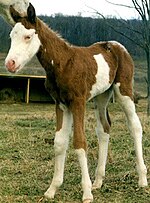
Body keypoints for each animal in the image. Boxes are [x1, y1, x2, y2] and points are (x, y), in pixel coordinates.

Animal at [4, 3, 148, 203]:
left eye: (28, 36)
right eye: (11, 36)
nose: (10, 64)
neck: (63, 63)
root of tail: (116, 45)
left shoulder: (78, 102)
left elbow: (80, 143)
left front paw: (86, 193)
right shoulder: (61, 104)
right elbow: (59, 143)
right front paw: (52, 189)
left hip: (123, 91)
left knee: (135, 126)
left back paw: (142, 179)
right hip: (101, 96)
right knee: (104, 128)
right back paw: (98, 181)